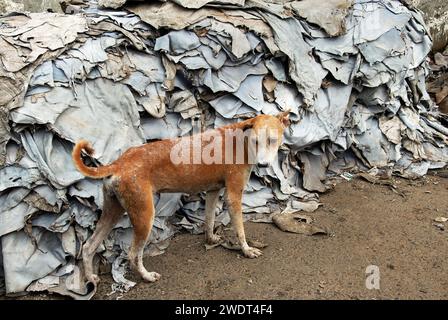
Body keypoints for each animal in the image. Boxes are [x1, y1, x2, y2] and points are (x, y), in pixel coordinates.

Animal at [72, 112, 290, 284]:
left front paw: (211, 239)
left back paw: (91, 277)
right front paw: (246, 250)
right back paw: (147, 276)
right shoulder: (234, 195)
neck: (241, 141)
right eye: (256, 141)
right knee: (133, 255)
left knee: (88, 247)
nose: (263, 165)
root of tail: (119, 163)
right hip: (144, 216)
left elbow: (209, 219)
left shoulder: (213, 192)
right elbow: (240, 230)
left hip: (113, 210)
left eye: (271, 140)